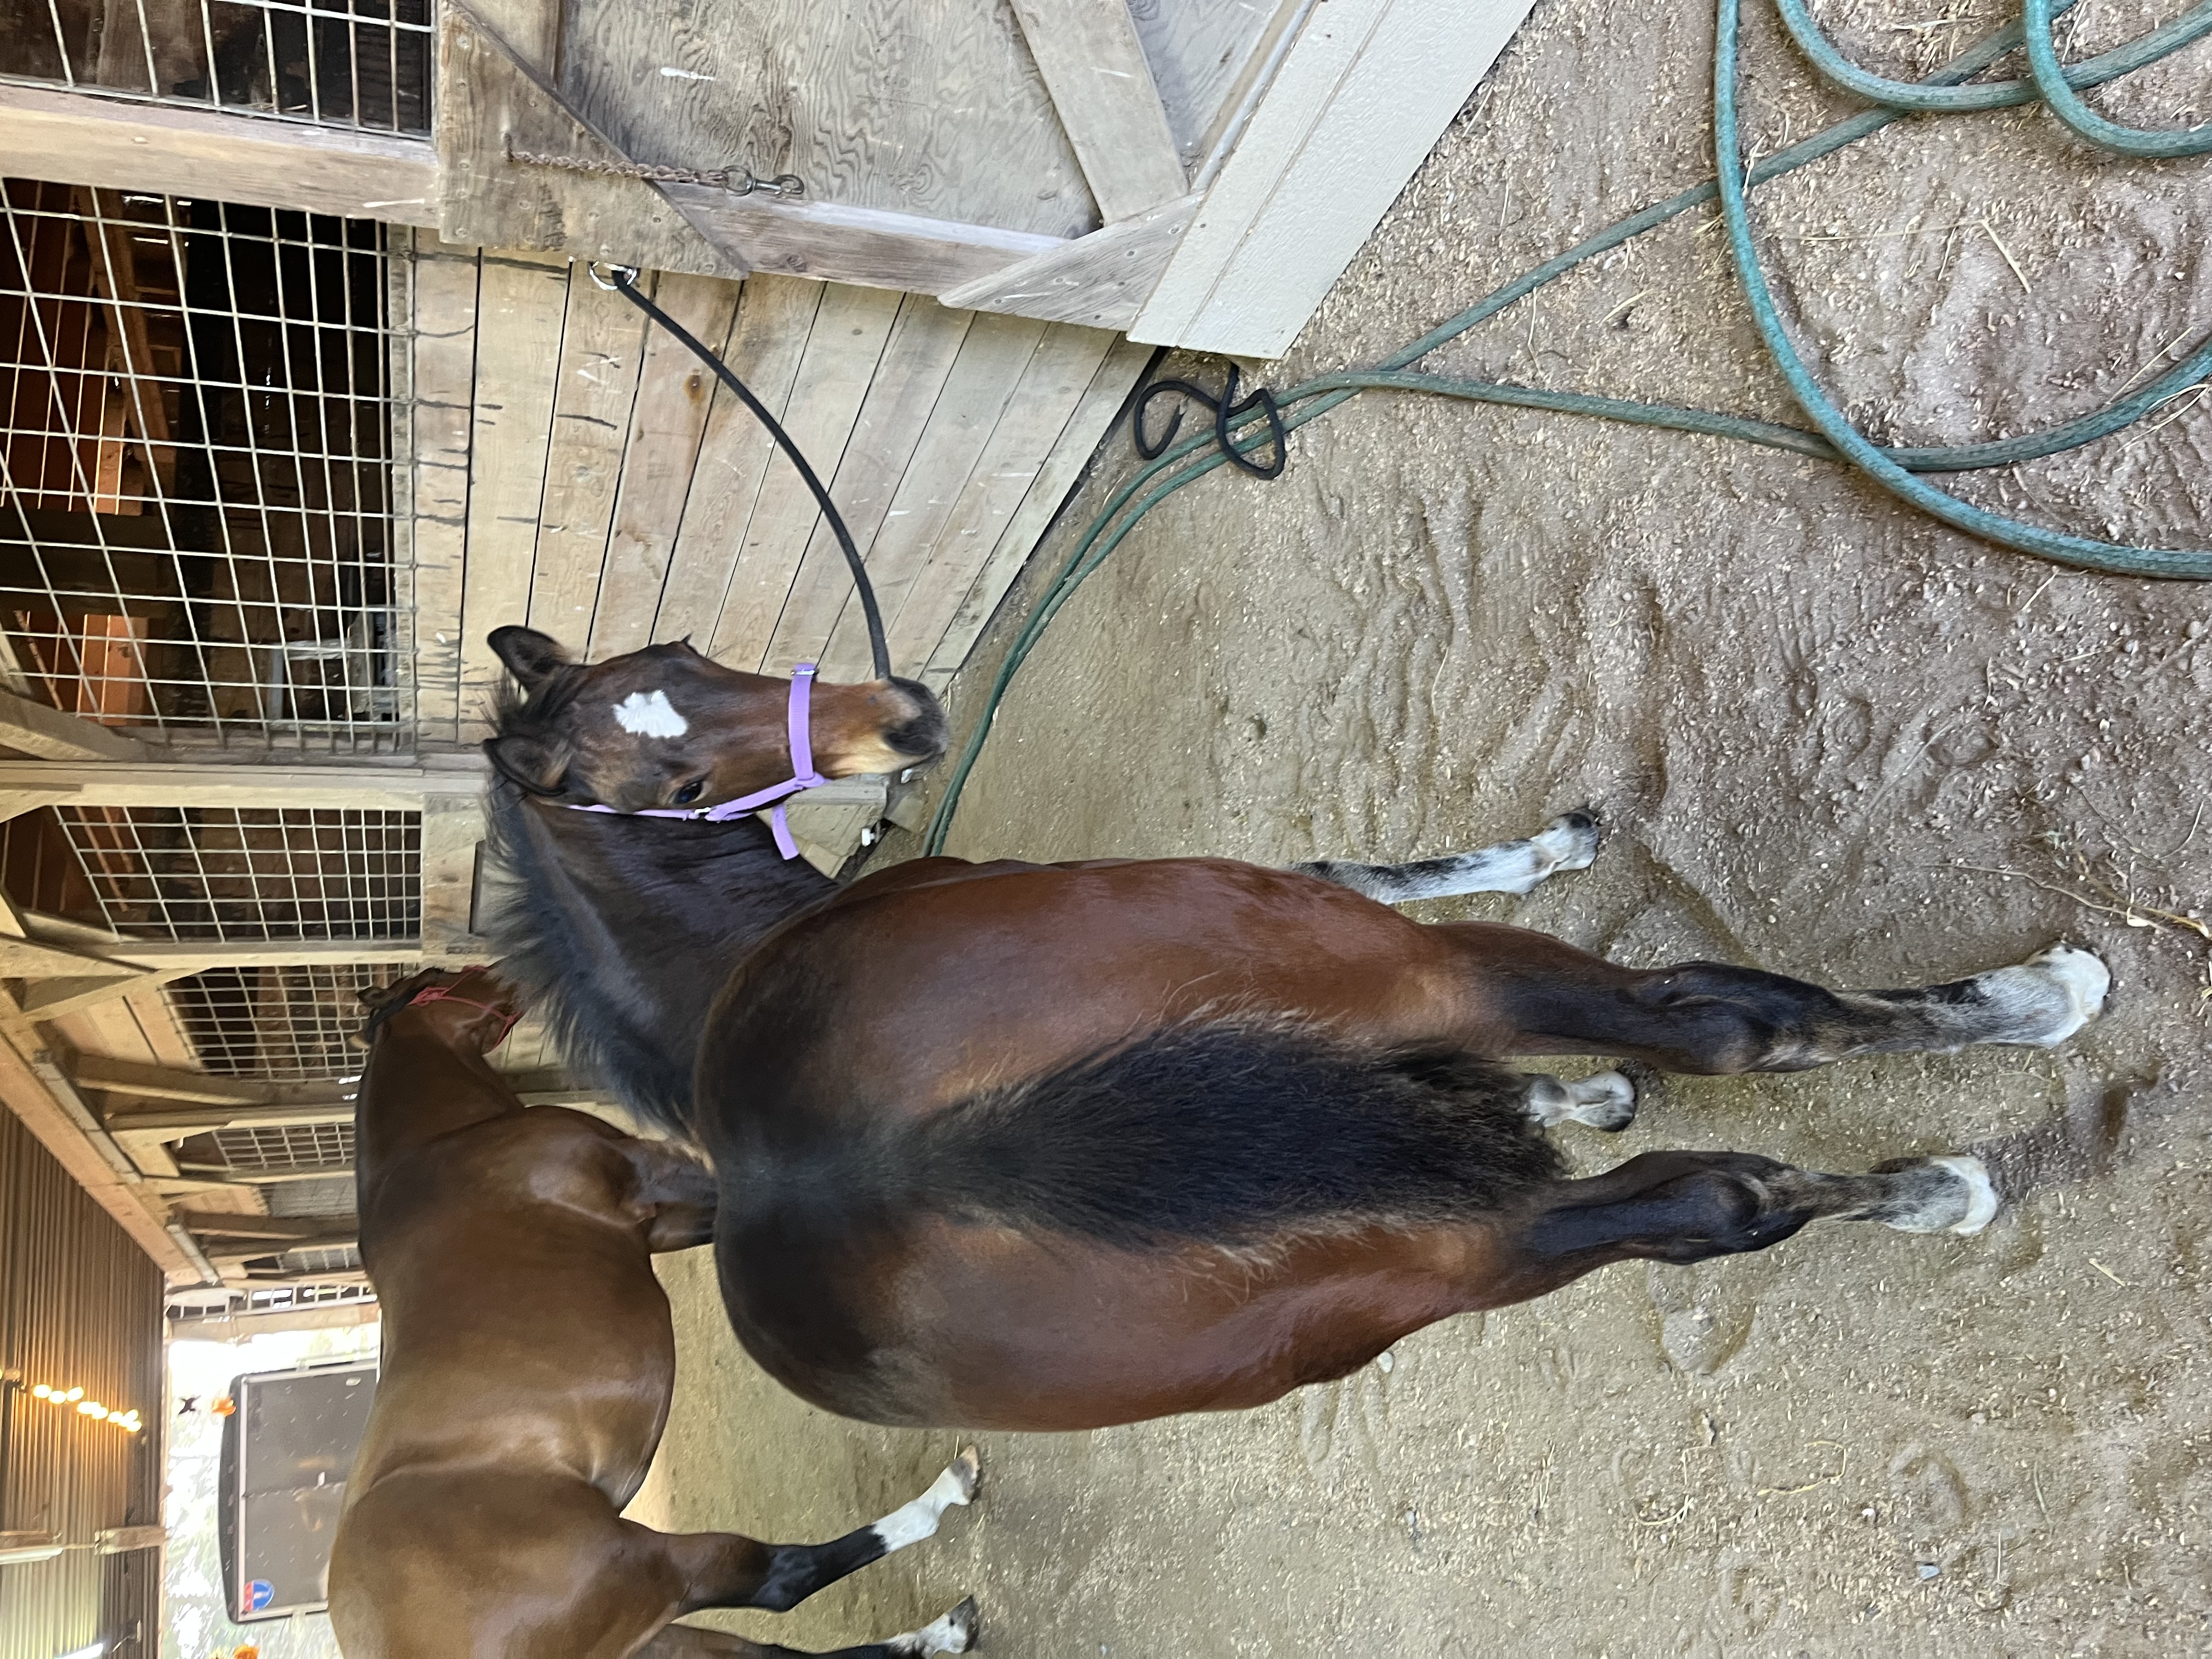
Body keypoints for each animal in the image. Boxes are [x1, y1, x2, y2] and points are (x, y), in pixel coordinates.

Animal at [327, 965, 982, 1659]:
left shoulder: (665, 1224)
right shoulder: (656, 1179)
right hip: (653, 1567)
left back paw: (940, 1633)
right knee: (781, 1580)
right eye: (437, 979)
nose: (501, 970)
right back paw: (947, 1493)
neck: (441, 1149)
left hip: (652, 1635)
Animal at [478, 626, 2109, 1432]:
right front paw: (1563, 1064)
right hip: (1419, 1134)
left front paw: (1555, 1102)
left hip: (1396, 1145)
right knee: (1717, 1128)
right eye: (670, 786)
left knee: (1705, 1088)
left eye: (686, 659)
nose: (907, 717)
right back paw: (1992, 1106)